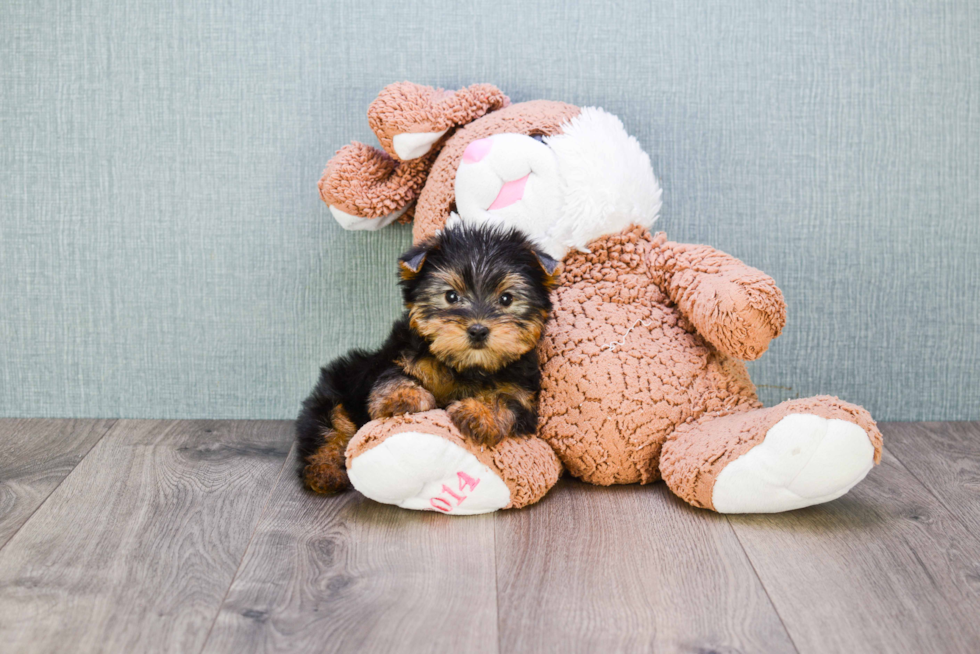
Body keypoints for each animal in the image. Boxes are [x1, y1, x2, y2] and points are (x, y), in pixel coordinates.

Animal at [296, 223, 560, 494]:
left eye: (506, 298)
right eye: (451, 296)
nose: (478, 330)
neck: (467, 366)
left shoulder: (523, 394)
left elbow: (507, 401)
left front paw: (480, 414)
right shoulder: (400, 358)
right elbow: (392, 377)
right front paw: (403, 397)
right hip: (336, 390)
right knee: (329, 428)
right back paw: (324, 472)